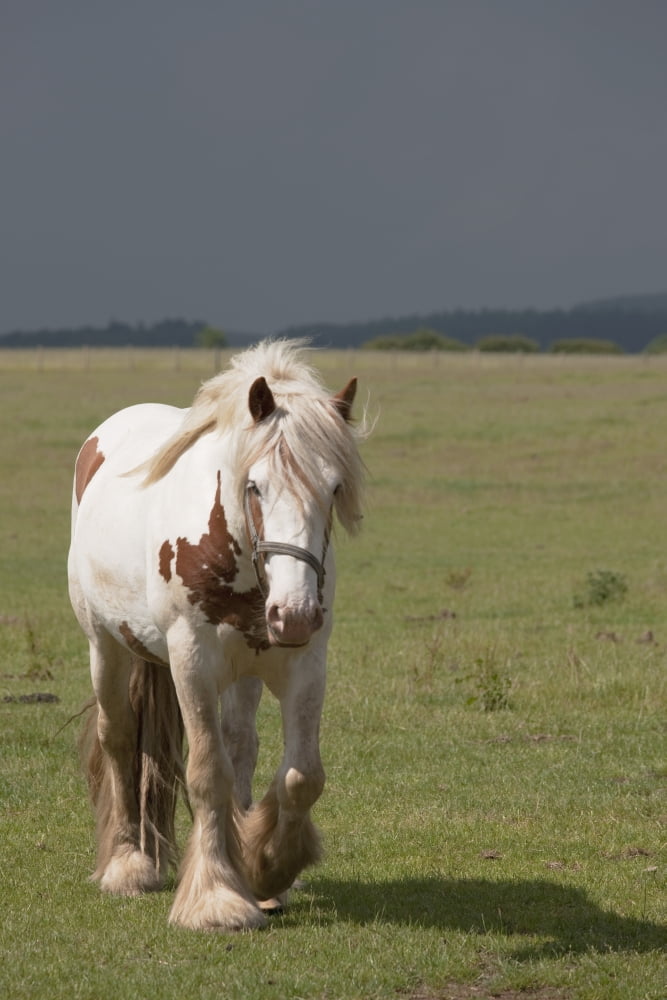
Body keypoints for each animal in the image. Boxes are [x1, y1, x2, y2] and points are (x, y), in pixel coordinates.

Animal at [67, 339, 366, 931]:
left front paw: (267, 867)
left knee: (241, 745)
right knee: (120, 736)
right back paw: (128, 864)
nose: (294, 614)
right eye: (255, 485)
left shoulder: (304, 663)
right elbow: (207, 772)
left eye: (334, 487)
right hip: (105, 648)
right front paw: (216, 898)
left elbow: (301, 775)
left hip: (243, 671)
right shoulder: (192, 661)